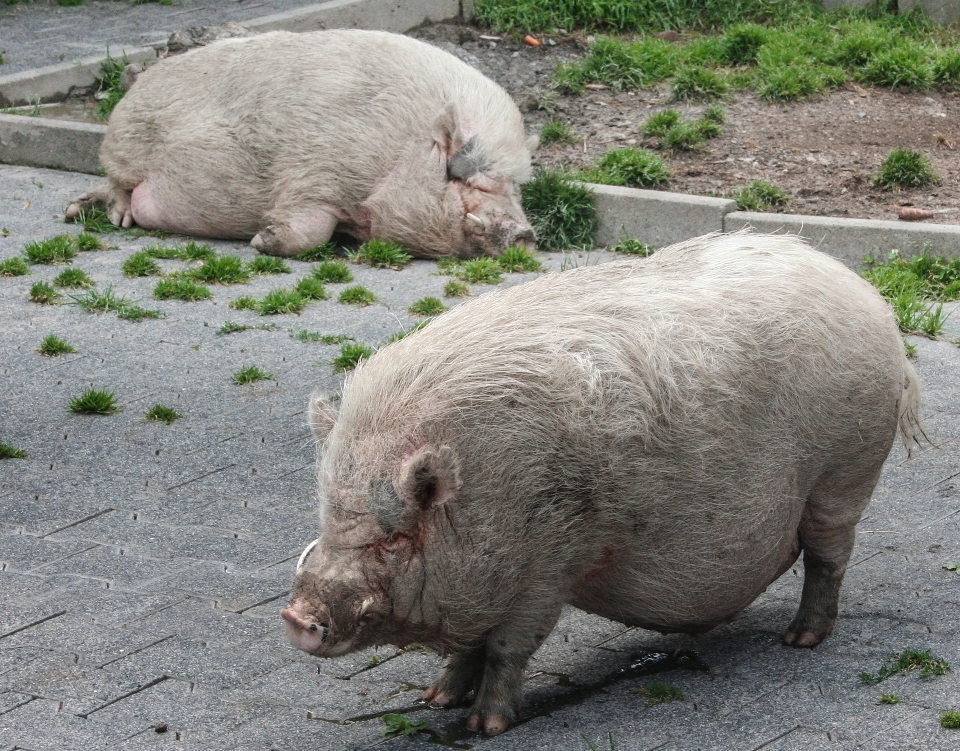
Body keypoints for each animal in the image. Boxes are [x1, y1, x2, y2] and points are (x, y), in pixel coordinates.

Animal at [64, 30, 536, 258]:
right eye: (463, 178)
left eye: (514, 186)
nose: (526, 235)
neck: (397, 147)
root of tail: (136, 85)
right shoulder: (313, 170)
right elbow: (308, 226)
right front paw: (261, 240)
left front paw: (260, 238)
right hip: (125, 146)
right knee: (117, 182)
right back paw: (111, 218)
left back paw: (77, 211)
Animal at [284, 234, 924, 736]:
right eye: (329, 519)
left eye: (393, 541)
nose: (296, 617)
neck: (485, 500)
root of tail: (868, 297)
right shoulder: (485, 582)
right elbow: (467, 648)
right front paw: (434, 699)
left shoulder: (551, 565)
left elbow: (507, 648)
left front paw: (485, 726)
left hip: (844, 474)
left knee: (828, 558)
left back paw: (801, 640)